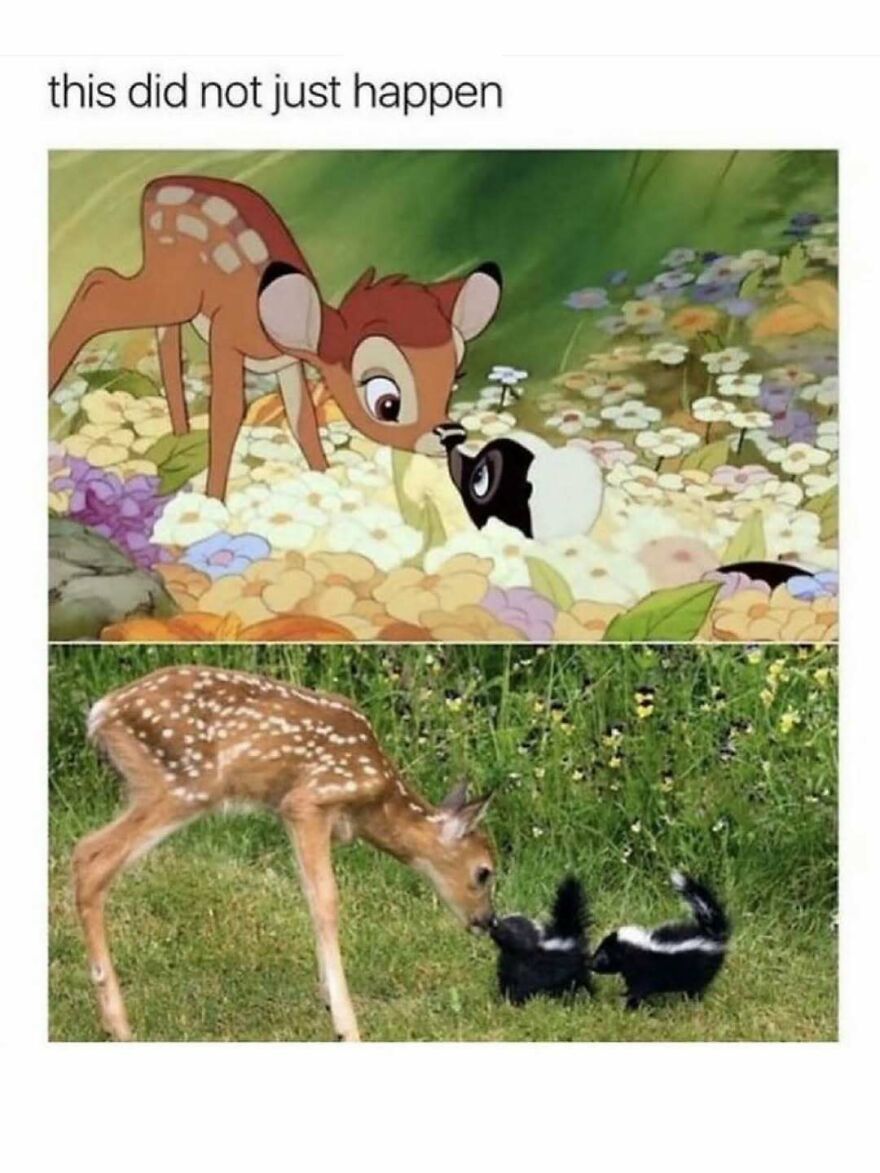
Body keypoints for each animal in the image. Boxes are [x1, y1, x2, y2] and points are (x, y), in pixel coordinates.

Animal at [49, 175, 503, 499]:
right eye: (386, 403)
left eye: (454, 380)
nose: (450, 434)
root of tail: (152, 189)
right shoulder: (226, 337)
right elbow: (228, 414)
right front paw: (215, 502)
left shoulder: (288, 362)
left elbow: (303, 422)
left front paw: (325, 478)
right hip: (174, 291)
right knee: (99, 283)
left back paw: (178, 432)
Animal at [75, 664, 496, 1042]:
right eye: (484, 872)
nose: (487, 921)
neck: (376, 803)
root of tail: (103, 711)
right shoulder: (308, 802)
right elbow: (326, 900)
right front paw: (347, 1028)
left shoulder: (289, 813)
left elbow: (310, 895)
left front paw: (327, 999)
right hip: (182, 785)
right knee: (90, 856)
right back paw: (119, 1025)